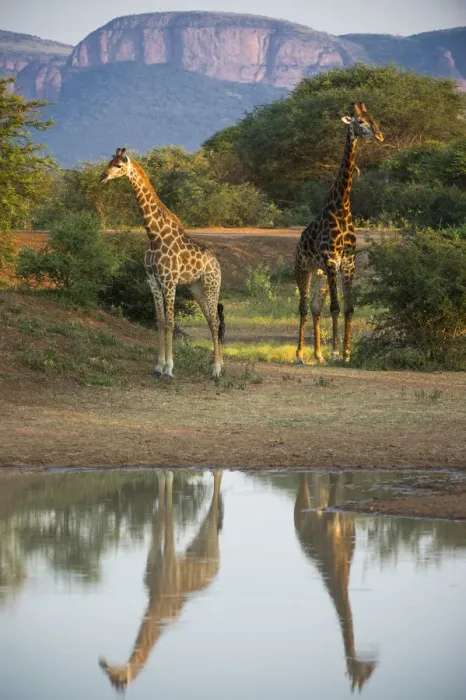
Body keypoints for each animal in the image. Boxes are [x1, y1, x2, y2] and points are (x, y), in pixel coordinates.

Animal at [99, 470, 223, 690]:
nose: (103, 663)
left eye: (118, 681)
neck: (157, 599)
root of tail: (216, 567)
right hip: (195, 545)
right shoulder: (153, 562)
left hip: (208, 541)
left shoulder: (169, 560)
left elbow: (169, 516)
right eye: (110, 680)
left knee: (215, 493)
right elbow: (160, 499)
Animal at [100, 149, 225, 378]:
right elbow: (159, 321)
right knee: (211, 320)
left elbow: (171, 323)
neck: (154, 235)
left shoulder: (169, 281)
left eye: (119, 166)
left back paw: (217, 370)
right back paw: (218, 366)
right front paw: (158, 367)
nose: (102, 177)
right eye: (109, 162)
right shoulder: (153, 281)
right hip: (196, 288)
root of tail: (217, 263)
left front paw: (169, 368)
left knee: (215, 321)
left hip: (212, 285)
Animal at [294, 472, 377, 693]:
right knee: (304, 488)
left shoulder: (348, 531)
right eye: (364, 674)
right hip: (300, 511)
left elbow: (335, 485)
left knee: (319, 487)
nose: (374, 662)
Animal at [295, 103, 384, 364]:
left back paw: (317, 355)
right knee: (303, 306)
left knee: (315, 305)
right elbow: (334, 307)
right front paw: (335, 353)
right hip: (304, 268)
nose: (379, 135)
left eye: (373, 118)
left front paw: (345, 353)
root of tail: (298, 244)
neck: (342, 207)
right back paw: (300, 354)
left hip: (322, 274)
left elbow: (347, 307)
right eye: (360, 121)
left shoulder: (348, 262)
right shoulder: (331, 259)